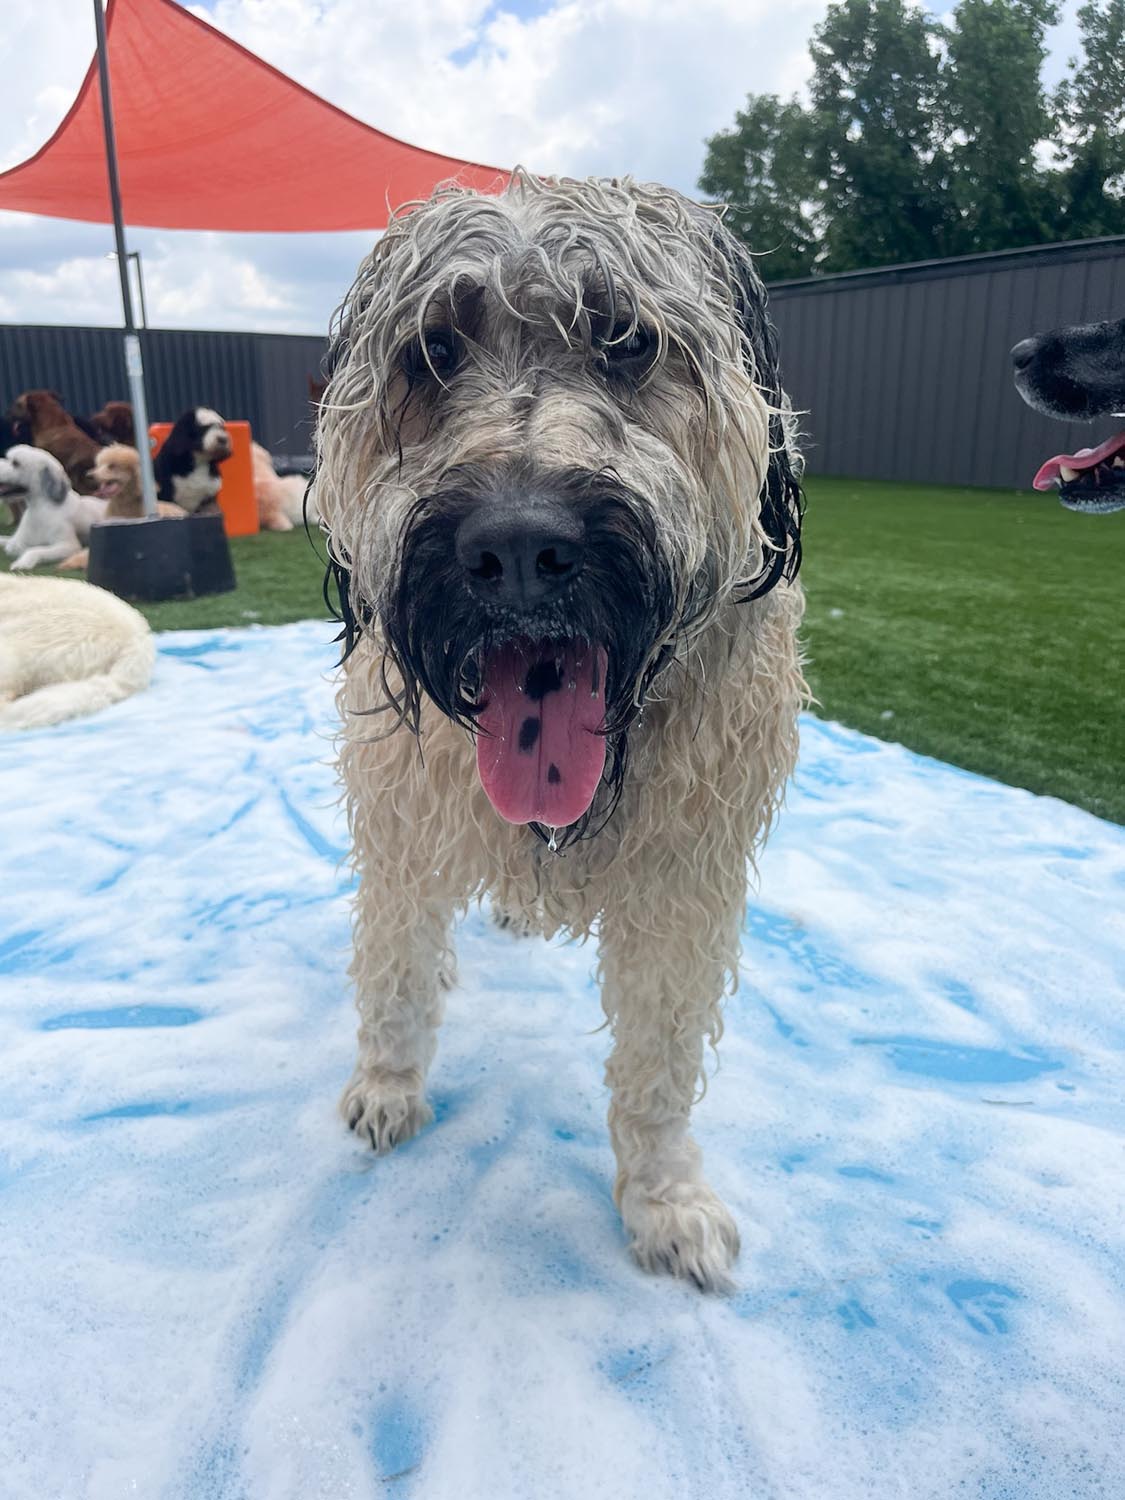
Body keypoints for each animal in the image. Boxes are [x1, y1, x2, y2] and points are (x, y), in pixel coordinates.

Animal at [315, 173, 805, 1291]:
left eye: (627, 339)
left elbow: (660, 1059)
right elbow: (396, 967)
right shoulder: (404, 824)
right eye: (433, 351)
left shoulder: (684, 882)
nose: (517, 546)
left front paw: (664, 1201)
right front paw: (388, 1085)